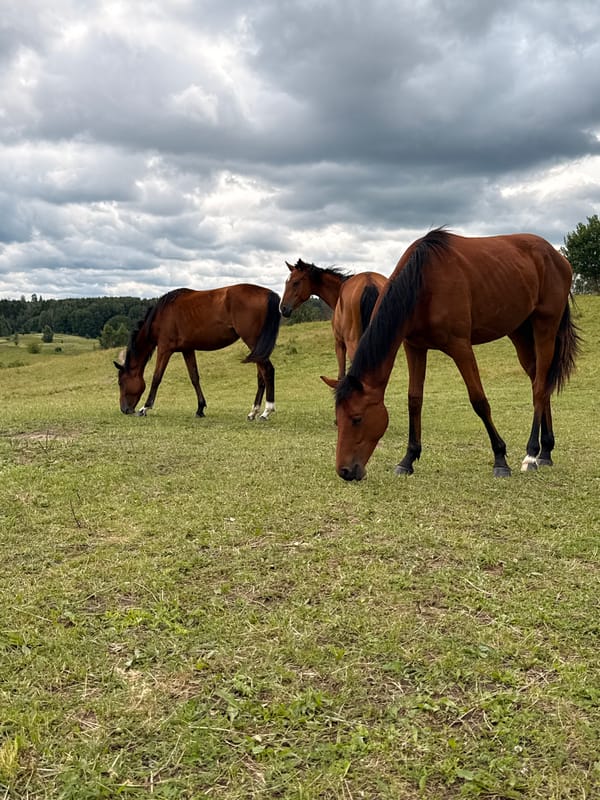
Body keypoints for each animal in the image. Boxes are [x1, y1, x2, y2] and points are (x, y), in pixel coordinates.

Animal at [114, 284, 281, 420]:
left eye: (120, 382)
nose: (124, 409)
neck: (160, 316)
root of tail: (268, 293)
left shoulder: (164, 349)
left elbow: (156, 378)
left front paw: (145, 408)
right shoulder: (187, 350)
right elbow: (194, 377)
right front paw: (200, 408)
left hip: (253, 342)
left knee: (267, 371)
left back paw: (266, 411)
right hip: (257, 348)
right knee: (261, 376)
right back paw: (253, 412)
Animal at [322, 228, 579, 481]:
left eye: (357, 419)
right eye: (337, 419)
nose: (344, 471)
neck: (423, 282)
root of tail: (557, 257)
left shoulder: (461, 347)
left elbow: (479, 401)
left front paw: (500, 458)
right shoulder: (414, 348)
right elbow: (414, 400)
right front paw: (408, 459)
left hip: (545, 327)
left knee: (540, 386)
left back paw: (532, 454)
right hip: (520, 332)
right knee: (539, 381)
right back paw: (546, 451)